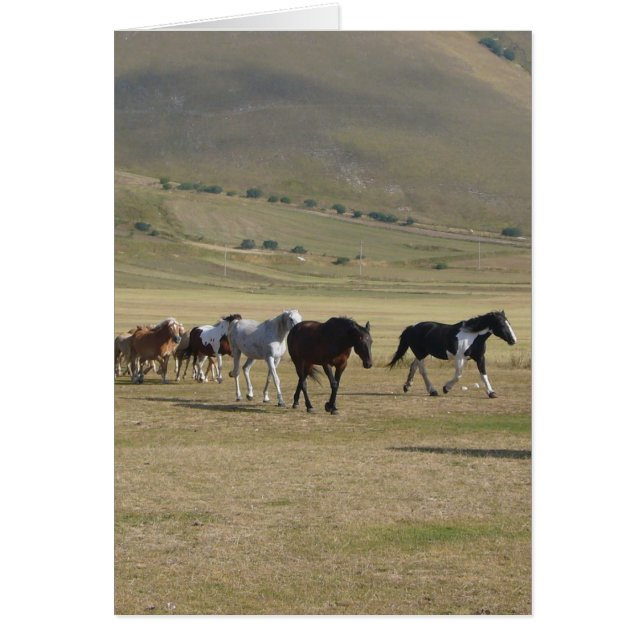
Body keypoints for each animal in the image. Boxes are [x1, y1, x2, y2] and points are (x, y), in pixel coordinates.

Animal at [386, 310, 517, 398]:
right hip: (420, 354)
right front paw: (446, 388)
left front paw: (491, 393)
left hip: (422, 354)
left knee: (414, 366)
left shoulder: (480, 358)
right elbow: (458, 375)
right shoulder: (459, 358)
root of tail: (412, 327)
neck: (472, 337)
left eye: (509, 323)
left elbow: (484, 375)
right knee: (422, 370)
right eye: (502, 325)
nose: (513, 340)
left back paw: (407, 386)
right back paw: (432, 391)